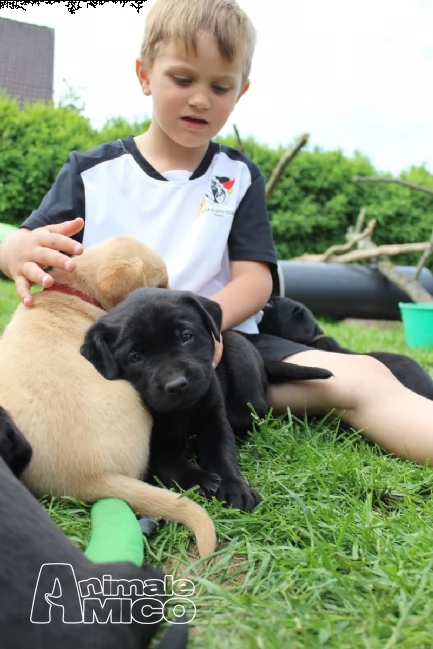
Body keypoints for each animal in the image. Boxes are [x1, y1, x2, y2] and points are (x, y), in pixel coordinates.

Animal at [81, 288, 330, 512]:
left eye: (186, 337)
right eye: (135, 357)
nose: (177, 384)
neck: (180, 413)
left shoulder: (214, 419)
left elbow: (222, 455)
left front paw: (235, 489)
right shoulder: (149, 446)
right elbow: (170, 463)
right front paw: (199, 480)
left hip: (238, 350)